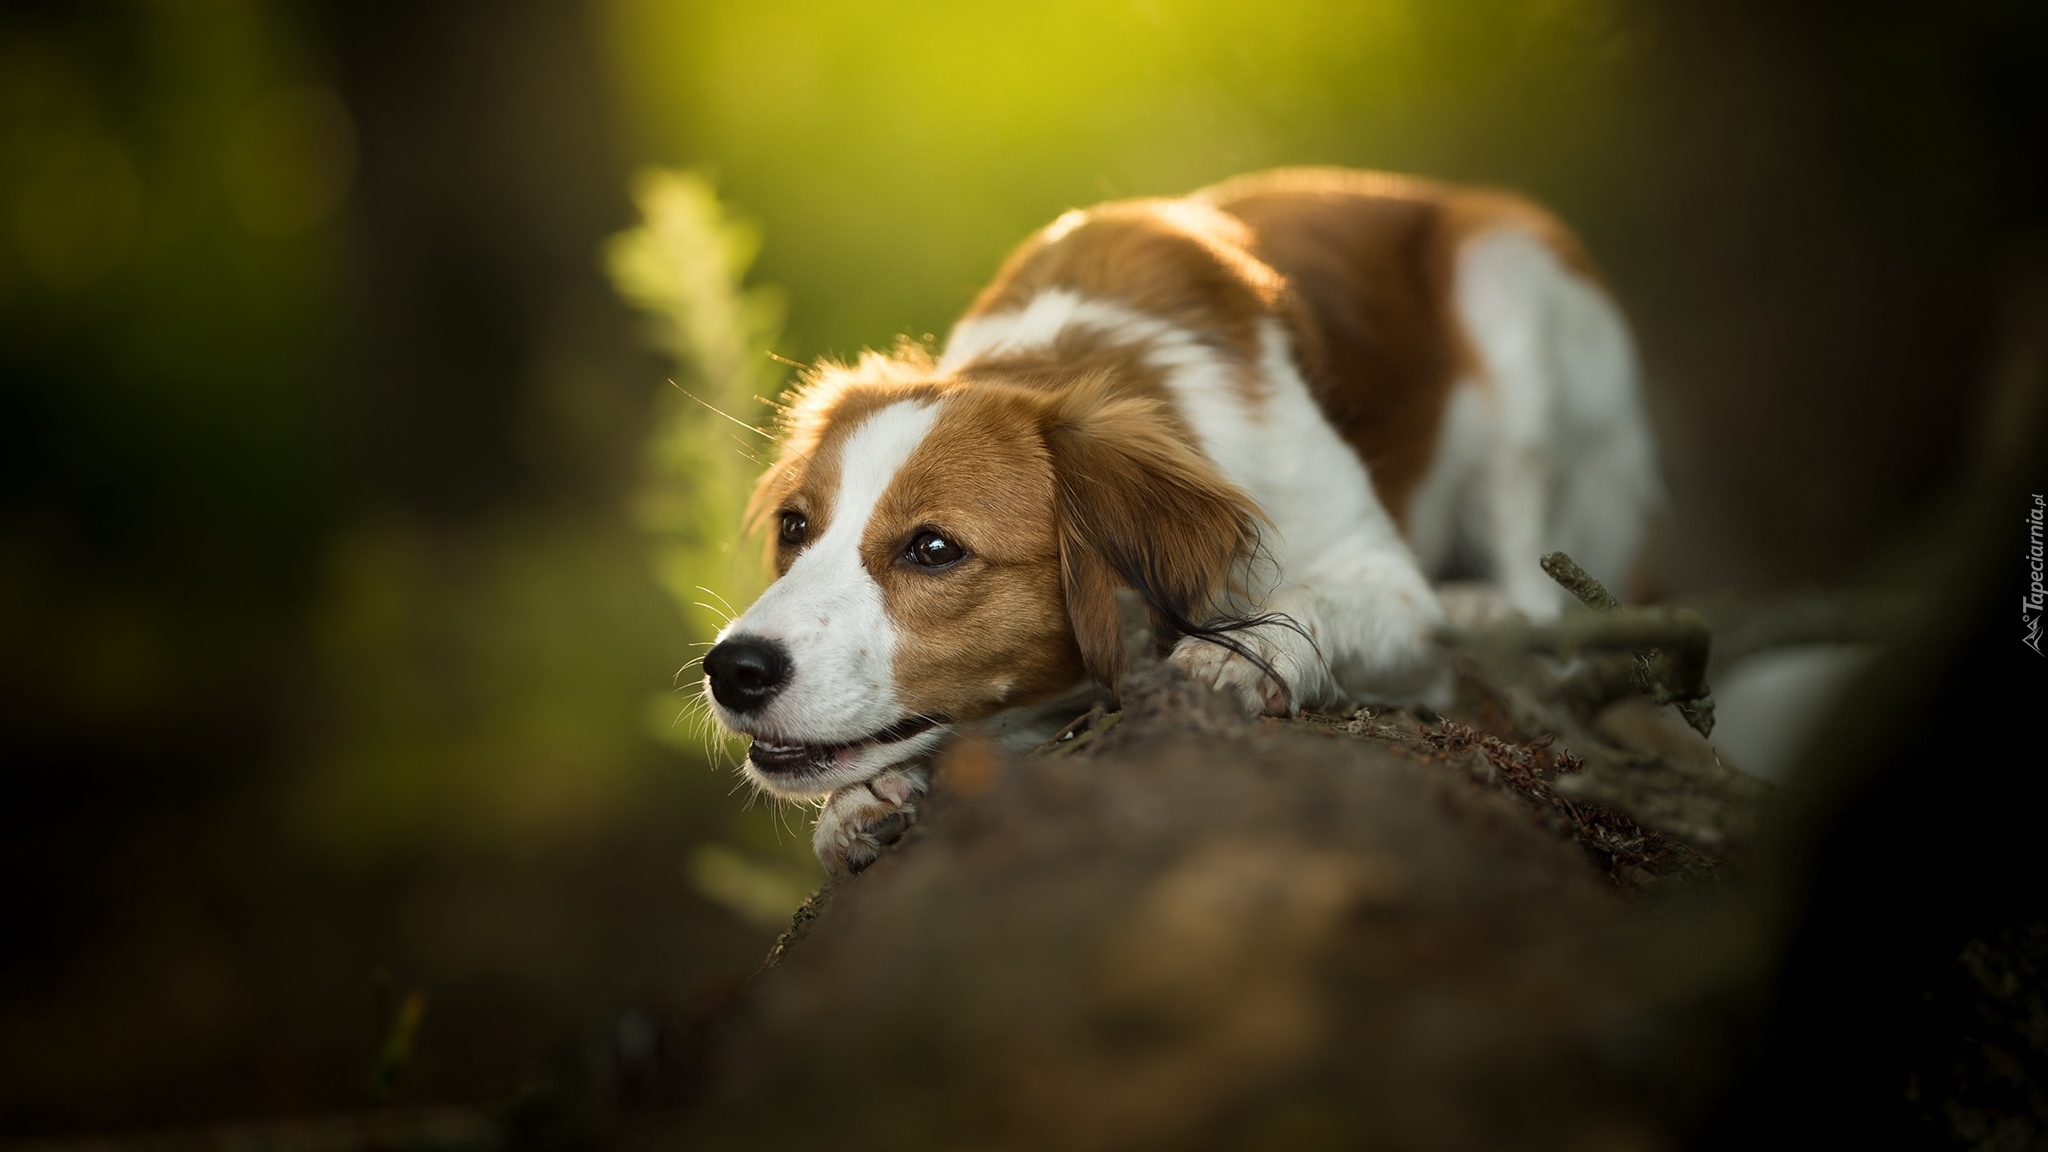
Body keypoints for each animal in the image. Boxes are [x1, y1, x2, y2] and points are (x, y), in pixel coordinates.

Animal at [704, 166, 1662, 869]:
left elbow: (1307, 602)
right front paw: (865, 796)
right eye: (795, 529)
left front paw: (1249, 650)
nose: (733, 671)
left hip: (1508, 293)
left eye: (933, 548)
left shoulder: (1386, 589)